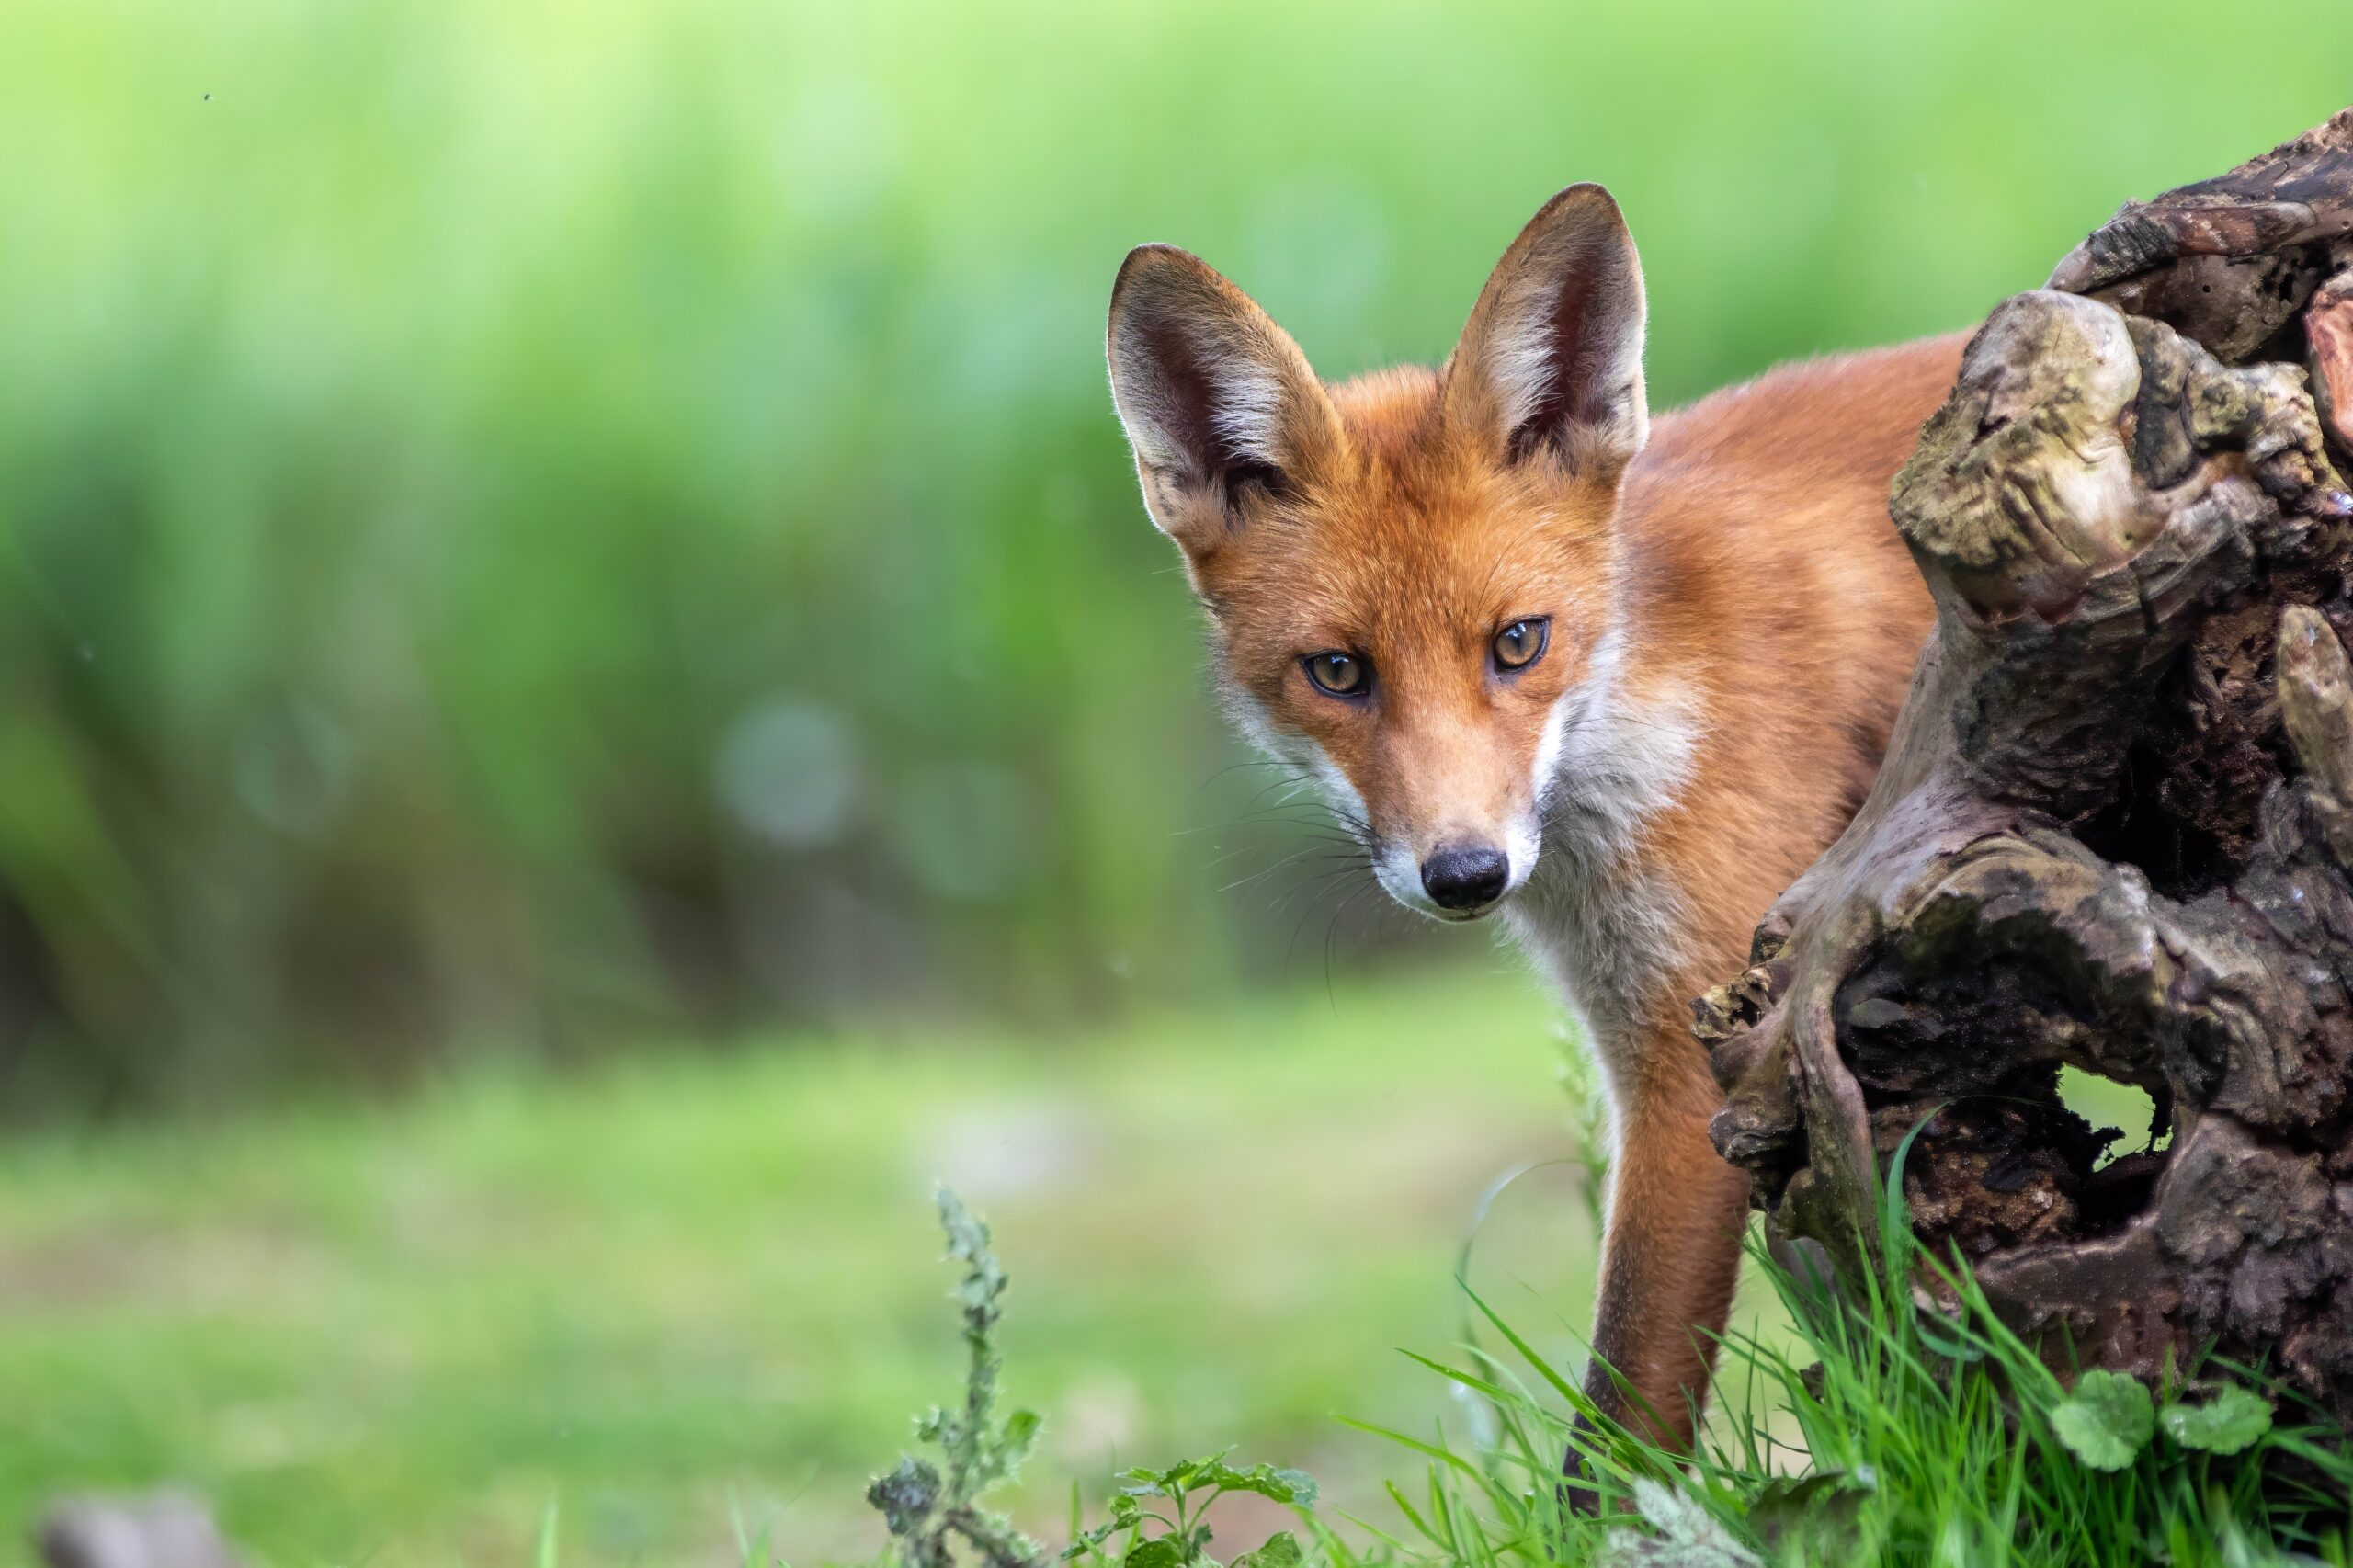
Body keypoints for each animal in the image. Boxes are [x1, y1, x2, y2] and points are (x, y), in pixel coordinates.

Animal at [1103, 184, 1966, 1465]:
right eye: (1338, 671)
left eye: (1518, 642)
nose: (1464, 870)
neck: (1654, 688)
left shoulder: (1707, 1053)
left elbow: (1618, 1425)